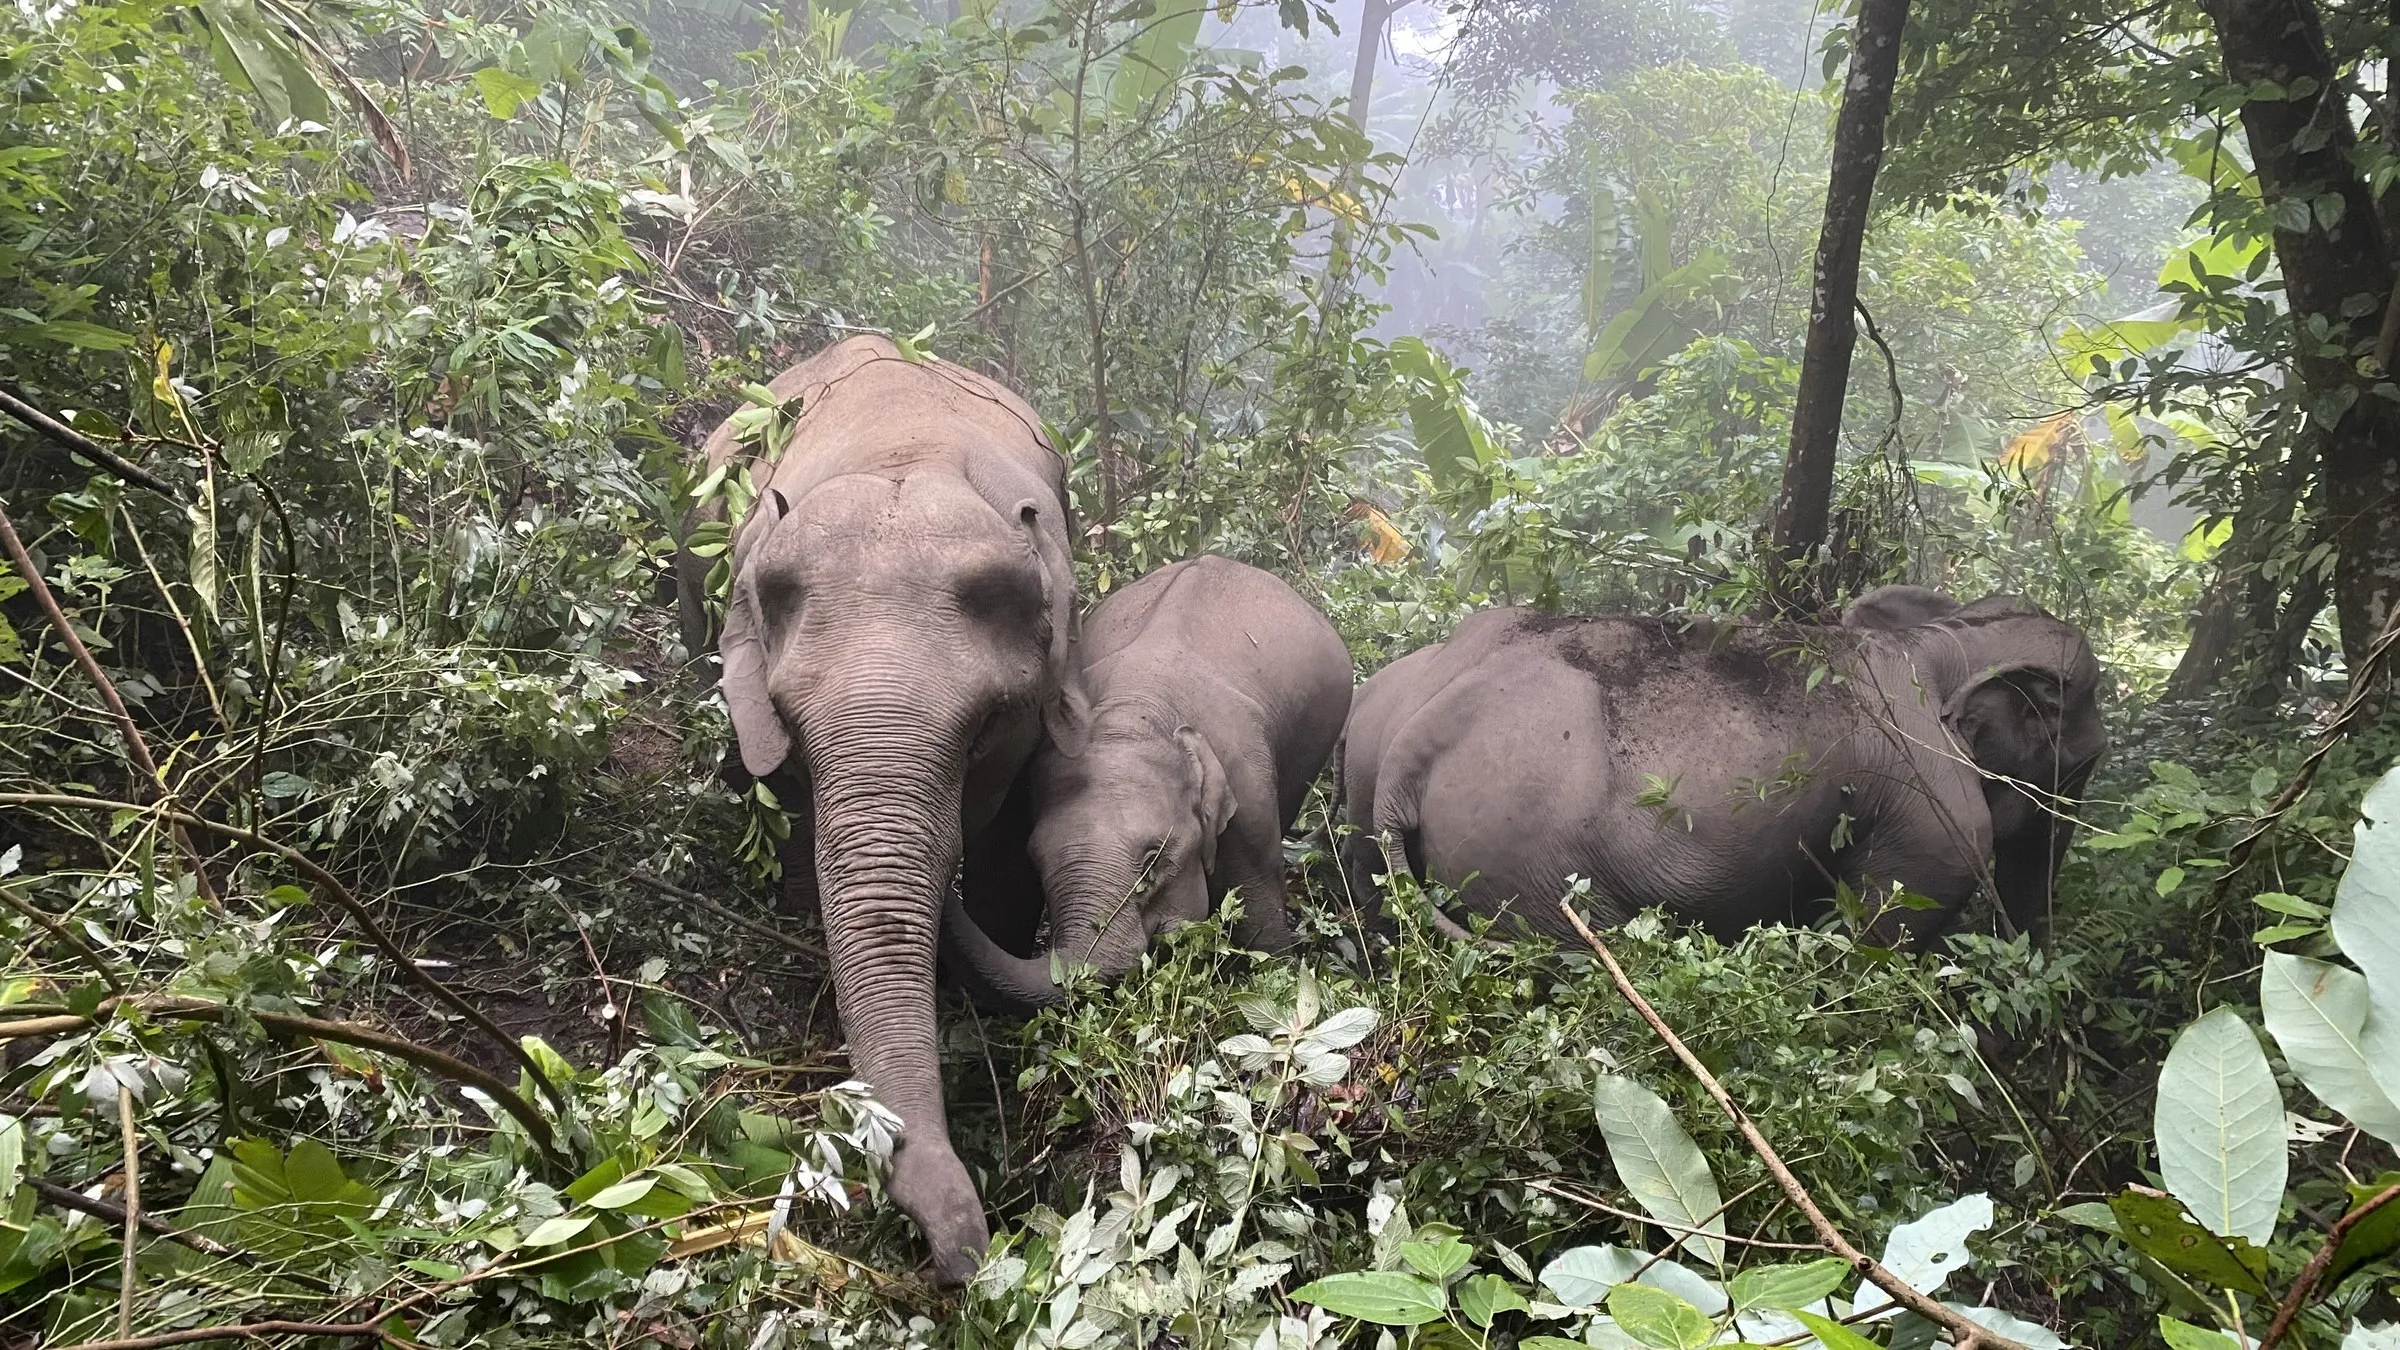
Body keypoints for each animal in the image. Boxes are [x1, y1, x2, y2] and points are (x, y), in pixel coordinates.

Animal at [1339, 587, 2106, 945]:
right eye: (2087, 758)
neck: (1940, 640)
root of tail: (1416, 742)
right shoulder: (1935, 813)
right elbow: (1883, 935)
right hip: (1530, 864)